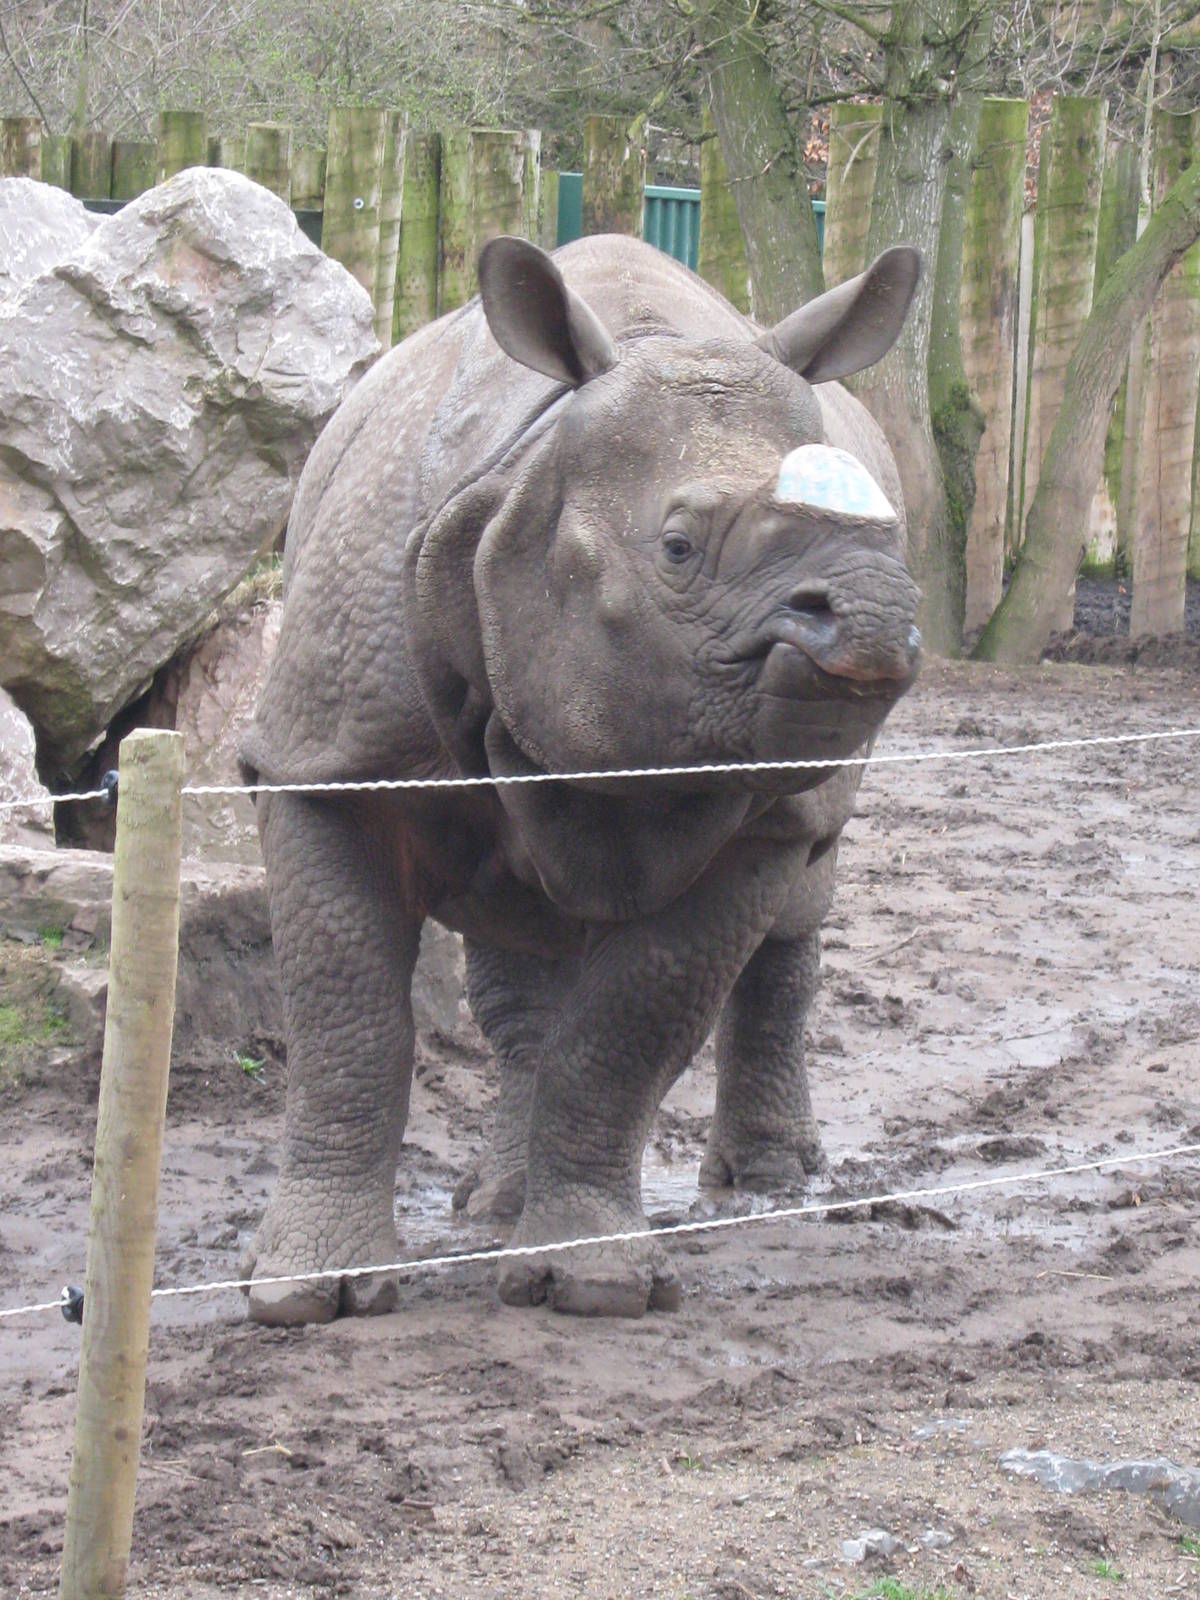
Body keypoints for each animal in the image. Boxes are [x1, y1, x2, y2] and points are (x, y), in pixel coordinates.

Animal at [240, 233, 922, 1323]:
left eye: (893, 537)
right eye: (677, 548)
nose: (871, 617)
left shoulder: (759, 816)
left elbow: (626, 1032)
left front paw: (592, 1283)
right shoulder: (323, 757)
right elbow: (346, 1017)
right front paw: (309, 1293)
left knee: (798, 892)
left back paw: (766, 1189)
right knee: (514, 929)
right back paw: (493, 1202)